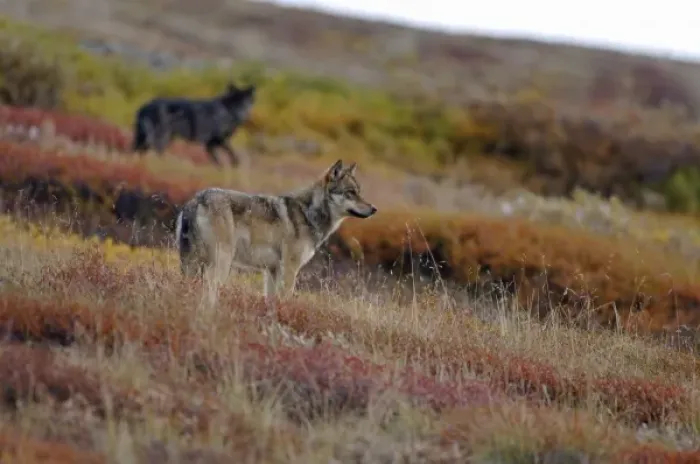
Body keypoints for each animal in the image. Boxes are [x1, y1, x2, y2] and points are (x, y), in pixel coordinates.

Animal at [175, 159, 377, 309]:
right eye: (350, 192)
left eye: (359, 192)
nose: (374, 209)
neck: (309, 213)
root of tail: (195, 200)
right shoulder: (289, 269)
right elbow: (285, 300)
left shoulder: (272, 271)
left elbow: (271, 302)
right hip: (221, 264)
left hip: (192, 265)